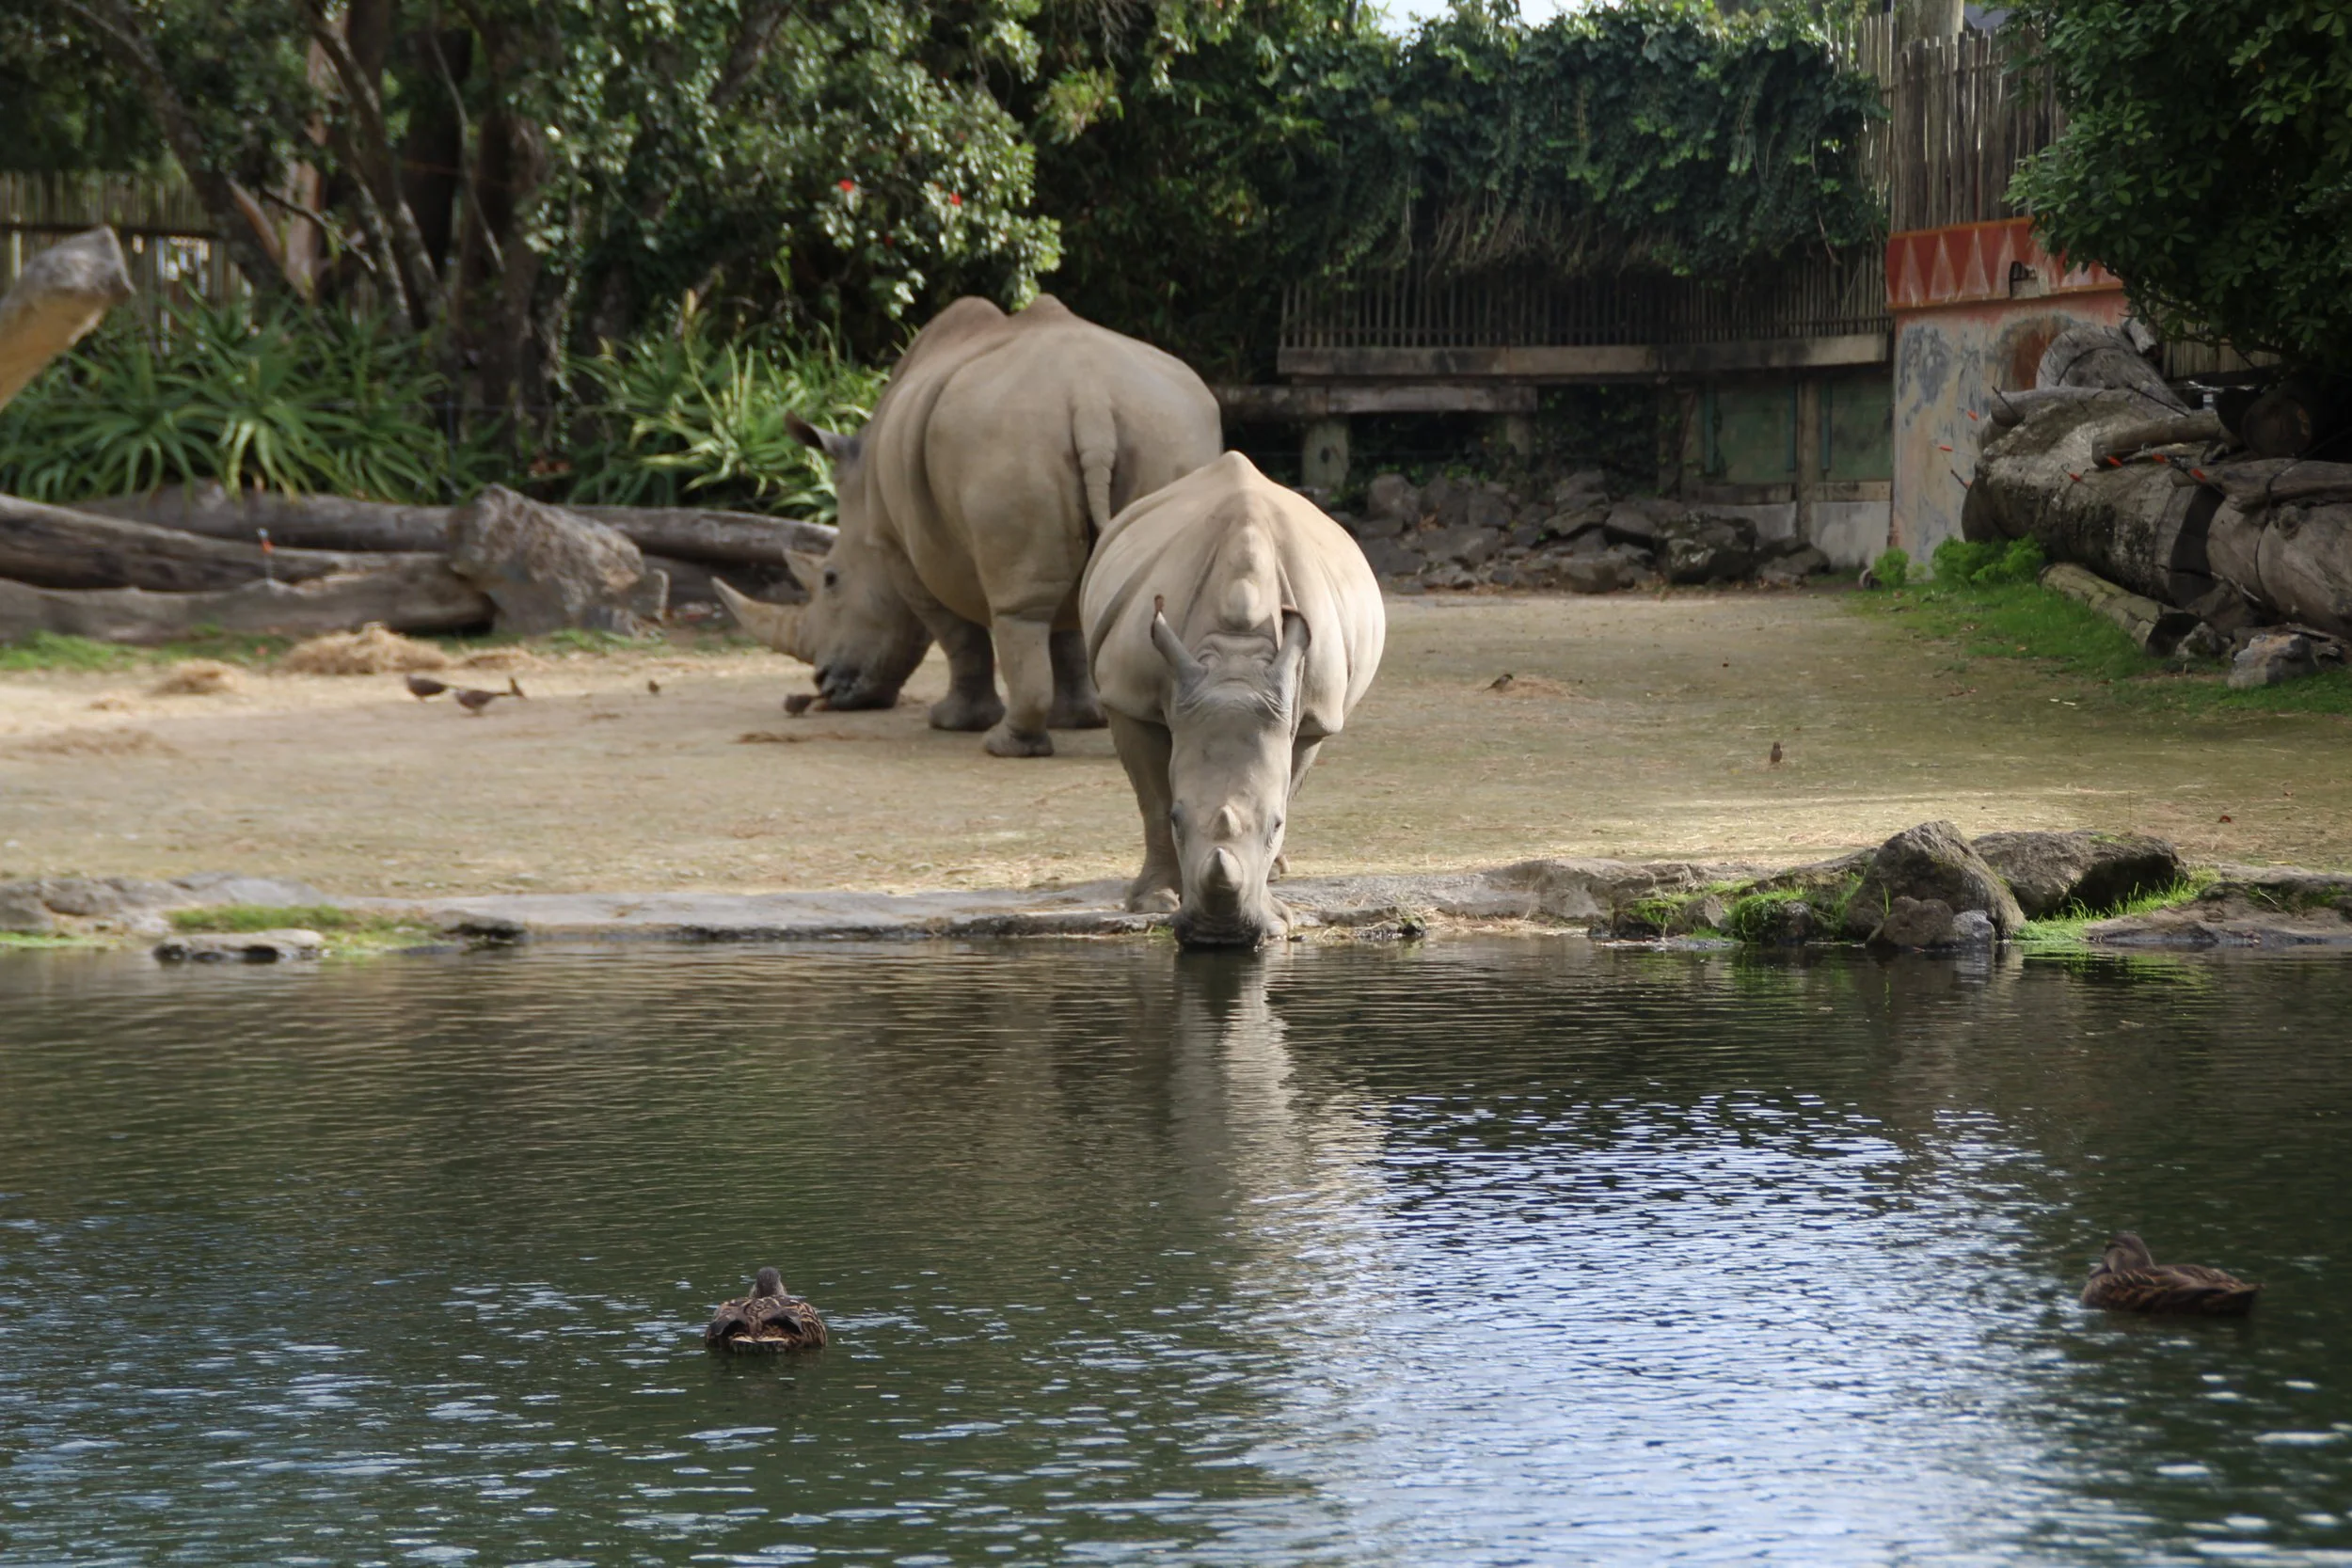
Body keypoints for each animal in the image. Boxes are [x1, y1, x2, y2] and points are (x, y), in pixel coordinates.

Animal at [721, 295, 1222, 756]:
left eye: (830, 579)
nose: (821, 685)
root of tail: (1091, 400)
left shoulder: (903, 549)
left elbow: (958, 636)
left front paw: (952, 722)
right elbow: (1067, 633)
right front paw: (1079, 720)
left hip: (1008, 440)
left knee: (1017, 611)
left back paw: (1004, 746)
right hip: (1160, 429)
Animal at [1081, 452, 1386, 947]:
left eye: (1275, 826)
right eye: (1178, 821)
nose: (1219, 935)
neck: (1235, 664)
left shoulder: (1313, 713)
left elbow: (1288, 782)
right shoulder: (1128, 697)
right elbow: (1152, 800)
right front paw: (1154, 903)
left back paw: (1278, 874)